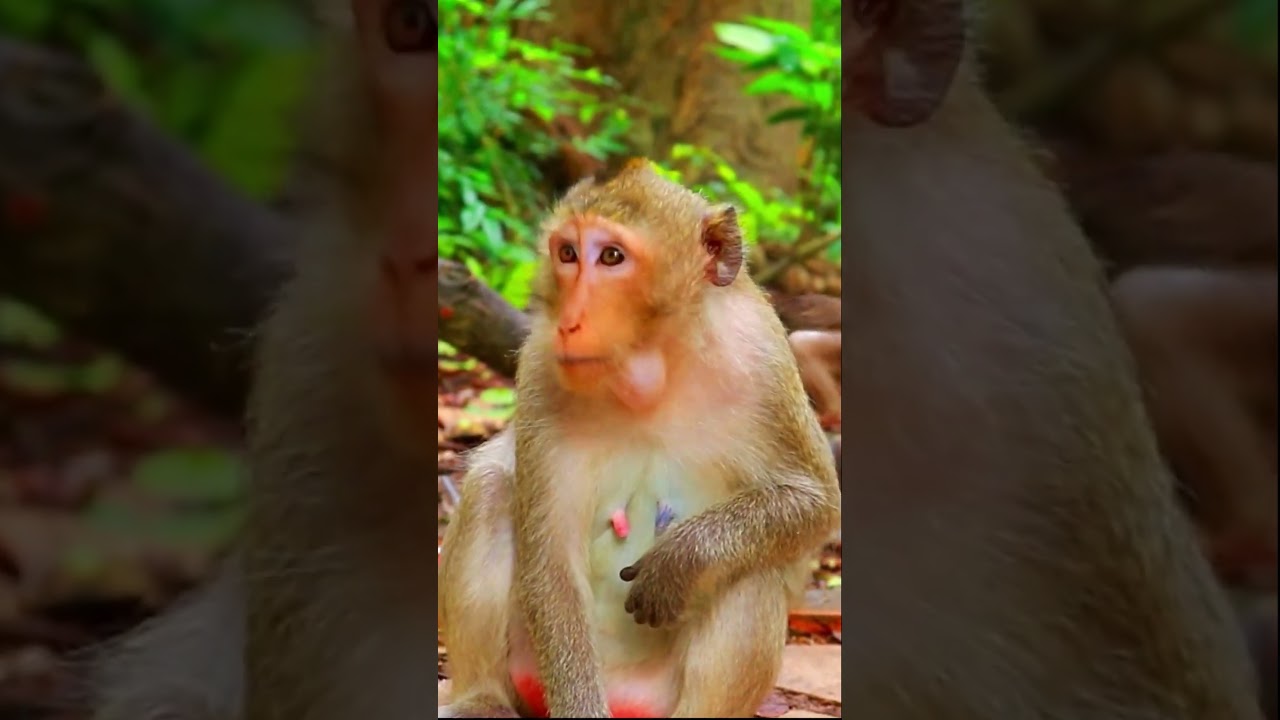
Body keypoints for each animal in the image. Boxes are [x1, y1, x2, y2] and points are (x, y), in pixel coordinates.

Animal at [437, 159, 842, 718]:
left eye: (612, 256)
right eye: (567, 253)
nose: (570, 322)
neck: (655, 367)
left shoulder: (764, 356)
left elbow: (814, 502)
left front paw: (683, 559)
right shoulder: (539, 367)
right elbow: (552, 563)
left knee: (752, 568)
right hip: (529, 674)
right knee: (492, 490)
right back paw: (482, 700)